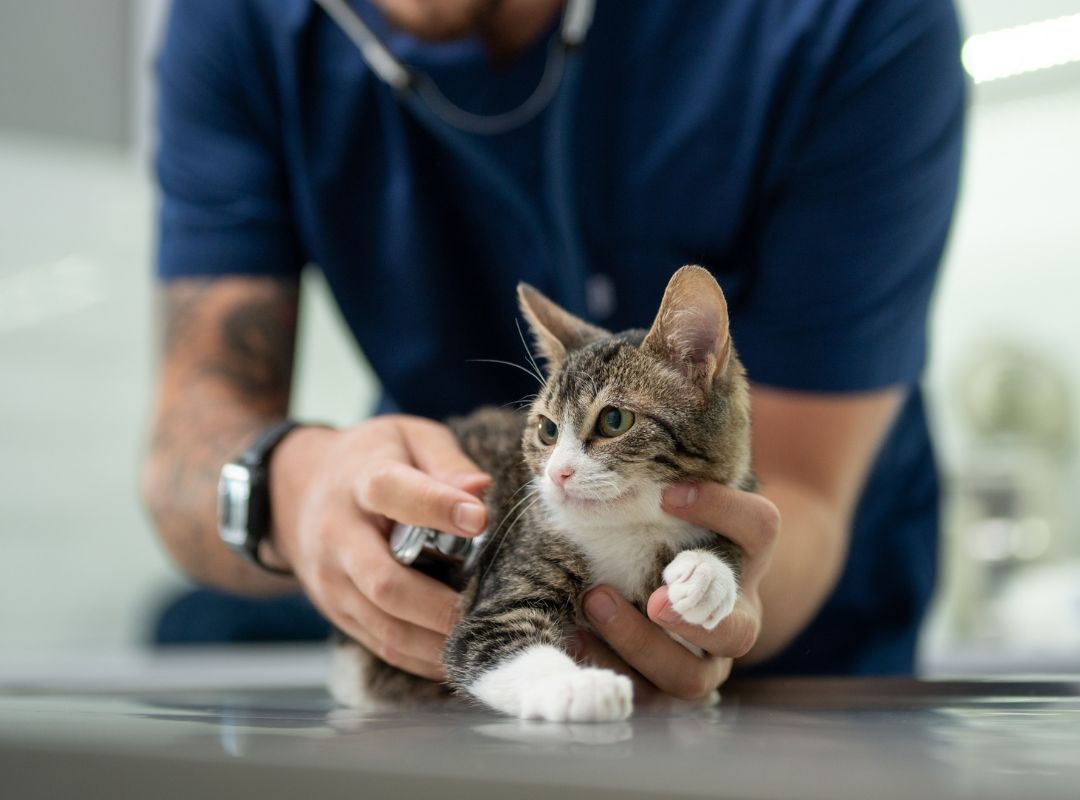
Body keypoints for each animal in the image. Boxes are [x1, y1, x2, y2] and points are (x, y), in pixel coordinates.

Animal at [328, 265, 751, 721]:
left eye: (614, 420)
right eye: (547, 429)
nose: (557, 473)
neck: (630, 528)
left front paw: (706, 574)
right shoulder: (511, 564)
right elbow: (488, 640)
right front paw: (580, 686)